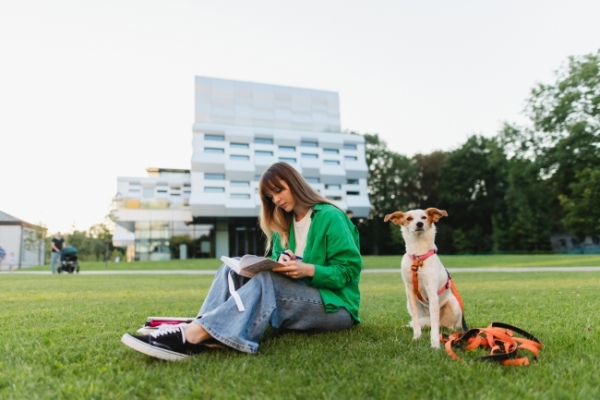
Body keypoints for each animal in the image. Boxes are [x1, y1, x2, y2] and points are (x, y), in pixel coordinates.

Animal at [384, 208, 464, 348]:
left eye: (424, 217)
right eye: (409, 218)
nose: (419, 224)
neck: (418, 256)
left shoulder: (431, 292)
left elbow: (434, 327)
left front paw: (435, 344)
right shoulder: (410, 292)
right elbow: (416, 322)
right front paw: (416, 337)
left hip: (453, 305)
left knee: (446, 326)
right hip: (410, 305)